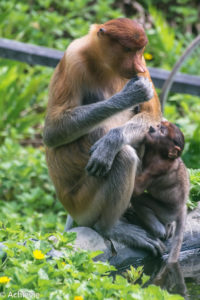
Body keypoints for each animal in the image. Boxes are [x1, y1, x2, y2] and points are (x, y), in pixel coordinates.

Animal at [131, 120, 189, 262]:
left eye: (162, 131)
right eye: (159, 126)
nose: (152, 128)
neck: (160, 154)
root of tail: (182, 207)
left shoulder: (157, 166)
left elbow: (137, 190)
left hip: (167, 212)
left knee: (138, 199)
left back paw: (158, 230)